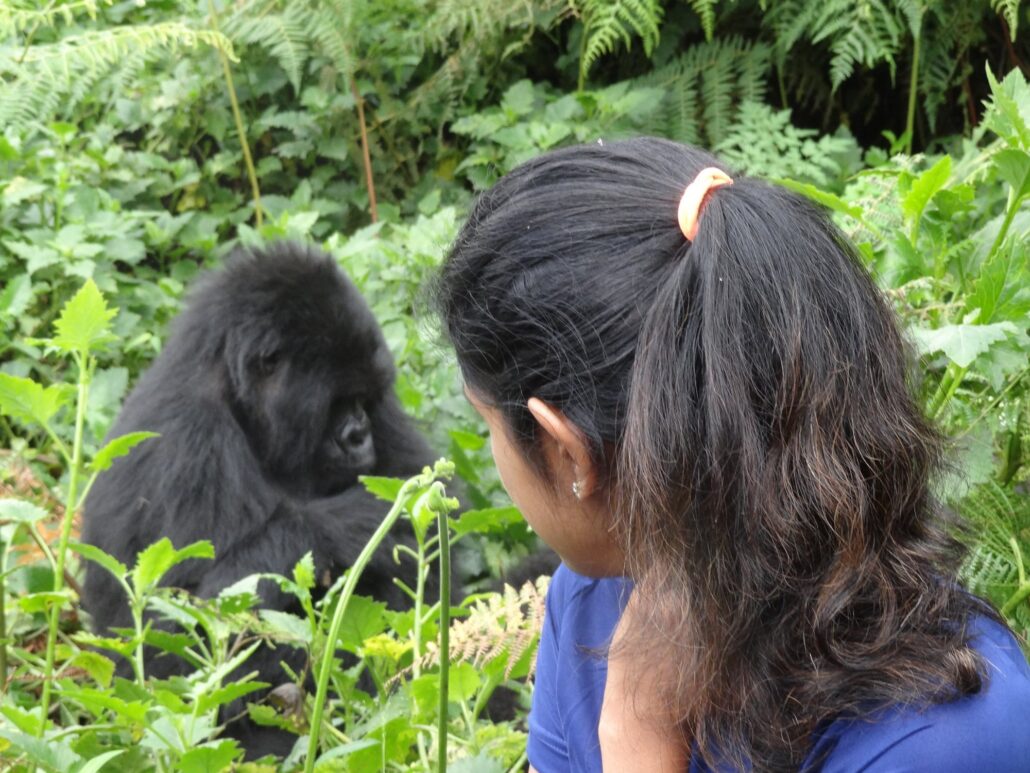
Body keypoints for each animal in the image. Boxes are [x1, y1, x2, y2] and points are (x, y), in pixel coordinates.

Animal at [80, 245, 434, 758]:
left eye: (364, 398)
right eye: (337, 401)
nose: (359, 436)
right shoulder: (190, 443)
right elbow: (181, 651)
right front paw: (363, 519)